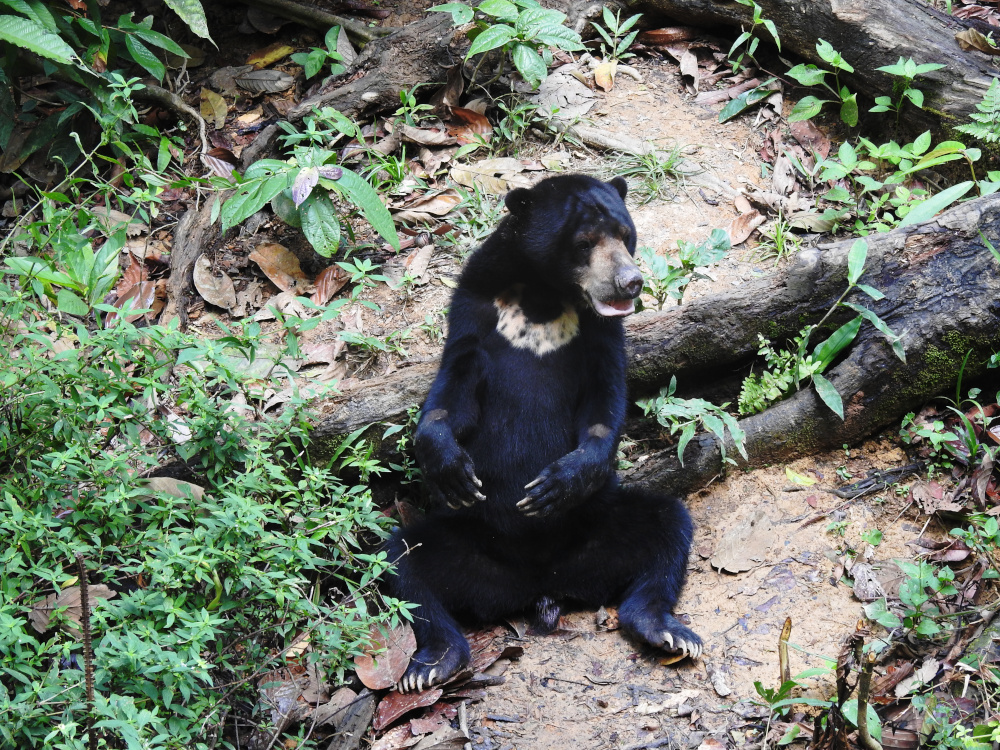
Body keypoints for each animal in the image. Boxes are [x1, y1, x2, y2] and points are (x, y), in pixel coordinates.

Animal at [386, 176, 700, 692]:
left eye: (625, 235)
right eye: (585, 242)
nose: (630, 281)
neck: (545, 296)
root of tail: (540, 587)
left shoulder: (601, 333)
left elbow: (604, 401)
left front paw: (555, 484)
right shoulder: (476, 306)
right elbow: (454, 391)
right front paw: (452, 470)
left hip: (598, 528)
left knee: (667, 528)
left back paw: (667, 631)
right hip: (469, 543)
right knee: (405, 561)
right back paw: (433, 663)